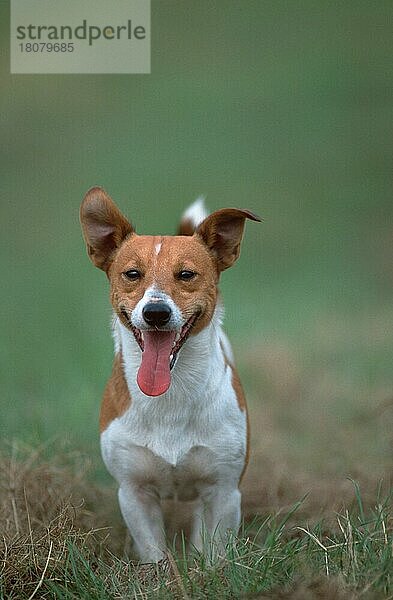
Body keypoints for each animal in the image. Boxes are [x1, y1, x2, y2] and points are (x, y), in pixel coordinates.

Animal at [79, 188, 260, 564]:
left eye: (187, 275)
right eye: (132, 274)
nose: (156, 312)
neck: (170, 395)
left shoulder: (223, 491)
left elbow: (213, 551)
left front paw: (207, 570)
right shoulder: (134, 493)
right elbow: (154, 553)